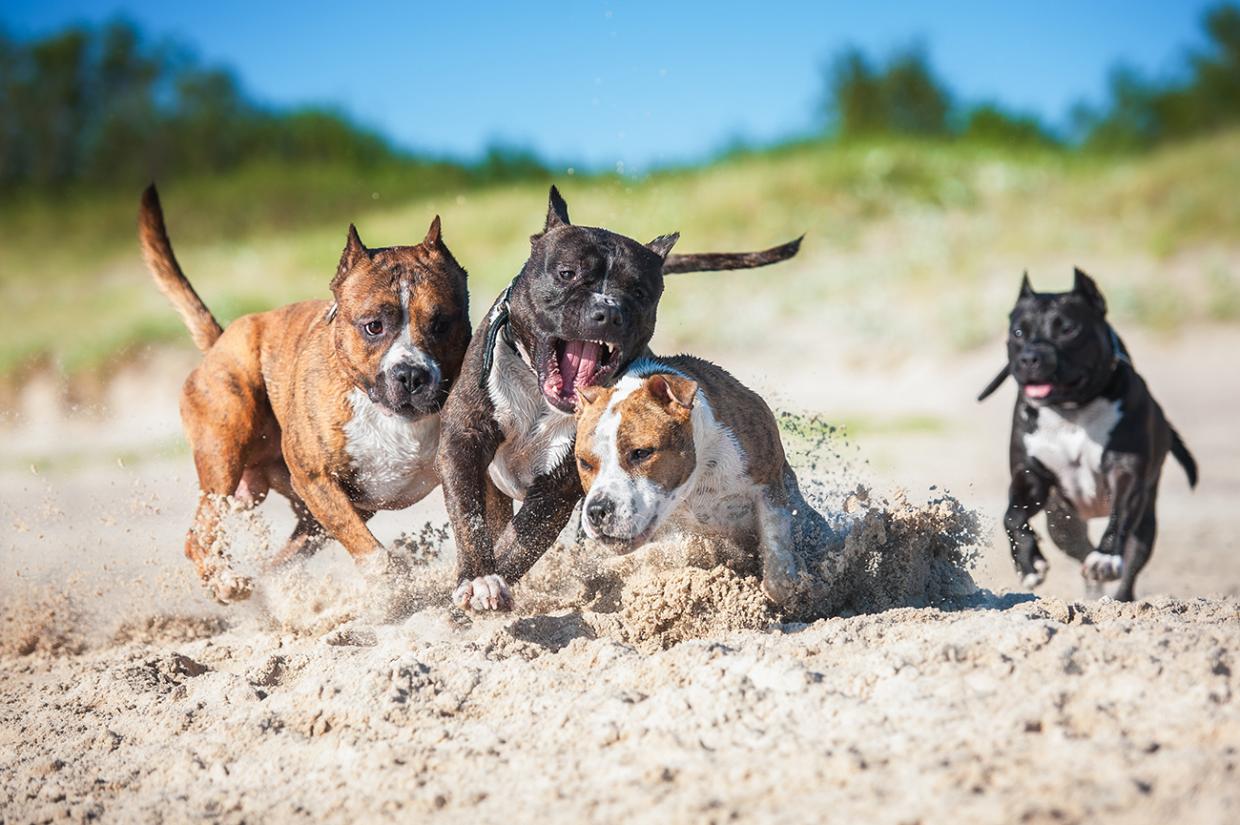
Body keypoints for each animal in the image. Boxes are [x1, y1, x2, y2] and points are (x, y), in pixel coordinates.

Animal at [139, 184, 468, 597]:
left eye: (441, 324)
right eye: (373, 326)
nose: (411, 375)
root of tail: (220, 342)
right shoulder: (317, 480)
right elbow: (370, 550)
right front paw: (393, 586)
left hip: (301, 513)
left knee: (276, 561)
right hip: (225, 449)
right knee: (198, 535)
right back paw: (227, 581)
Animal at [438, 188, 803, 610]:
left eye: (639, 291)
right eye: (566, 273)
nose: (607, 311)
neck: (537, 395)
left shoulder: (556, 491)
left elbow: (519, 543)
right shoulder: (461, 440)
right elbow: (469, 517)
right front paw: (479, 577)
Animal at [575, 354, 838, 605]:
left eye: (641, 453)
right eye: (584, 462)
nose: (597, 510)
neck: (697, 479)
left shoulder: (768, 486)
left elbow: (776, 557)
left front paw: (794, 590)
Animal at [982, 269, 1195, 597]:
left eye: (1068, 329)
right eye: (1018, 332)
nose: (1030, 357)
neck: (1071, 410)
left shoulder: (1125, 472)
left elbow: (1120, 515)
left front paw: (1106, 557)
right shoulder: (1031, 476)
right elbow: (1012, 517)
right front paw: (1028, 564)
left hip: (1145, 519)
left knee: (1131, 560)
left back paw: (1116, 591)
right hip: (1062, 523)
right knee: (1080, 549)